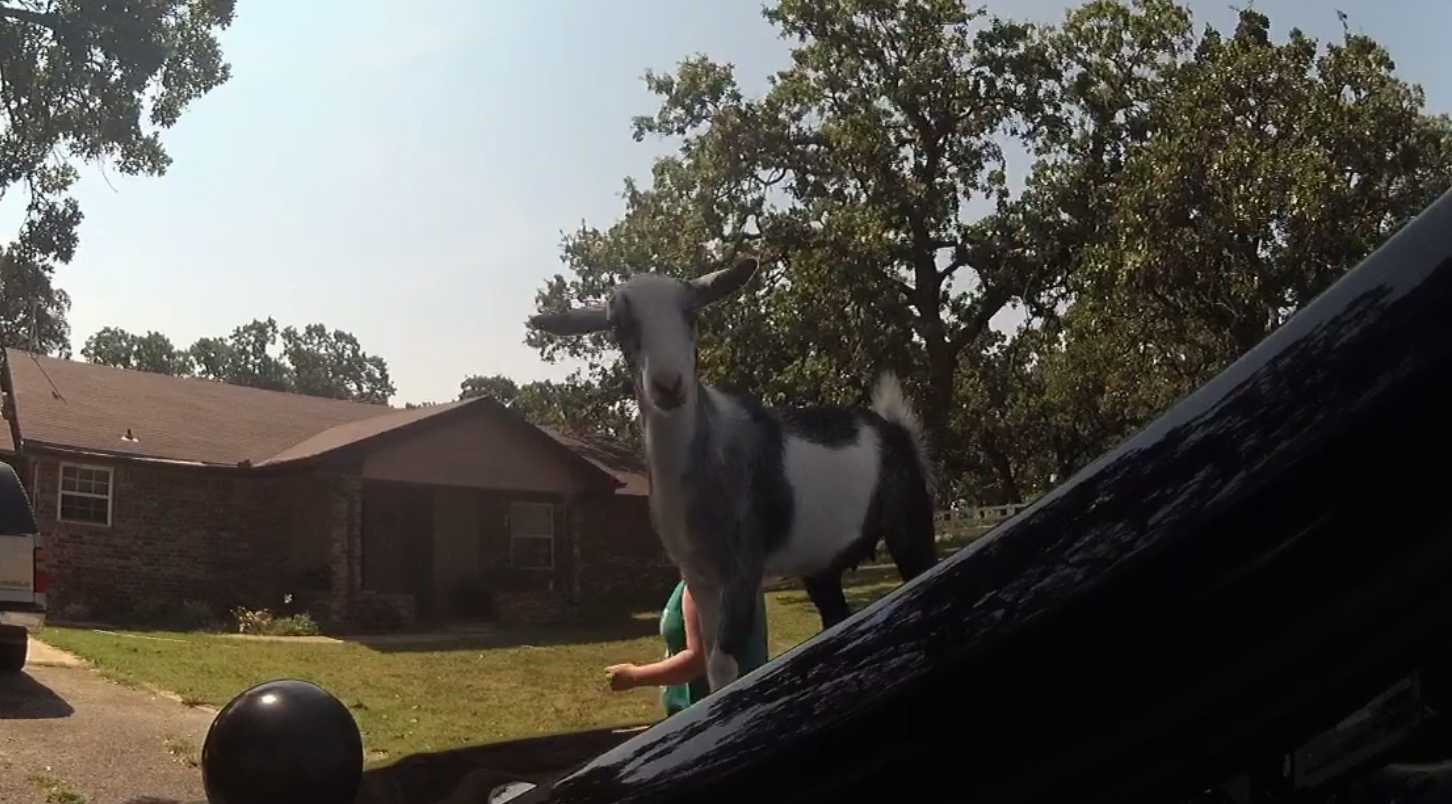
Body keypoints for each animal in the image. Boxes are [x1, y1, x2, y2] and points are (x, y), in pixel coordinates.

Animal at [527, 257, 937, 692]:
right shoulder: (697, 575)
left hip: (909, 523)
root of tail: (896, 430)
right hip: (821, 563)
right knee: (835, 616)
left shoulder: (742, 567)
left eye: (692, 313)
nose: (669, 384)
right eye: (618, 325)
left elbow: (724, 664)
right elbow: (707, 660)